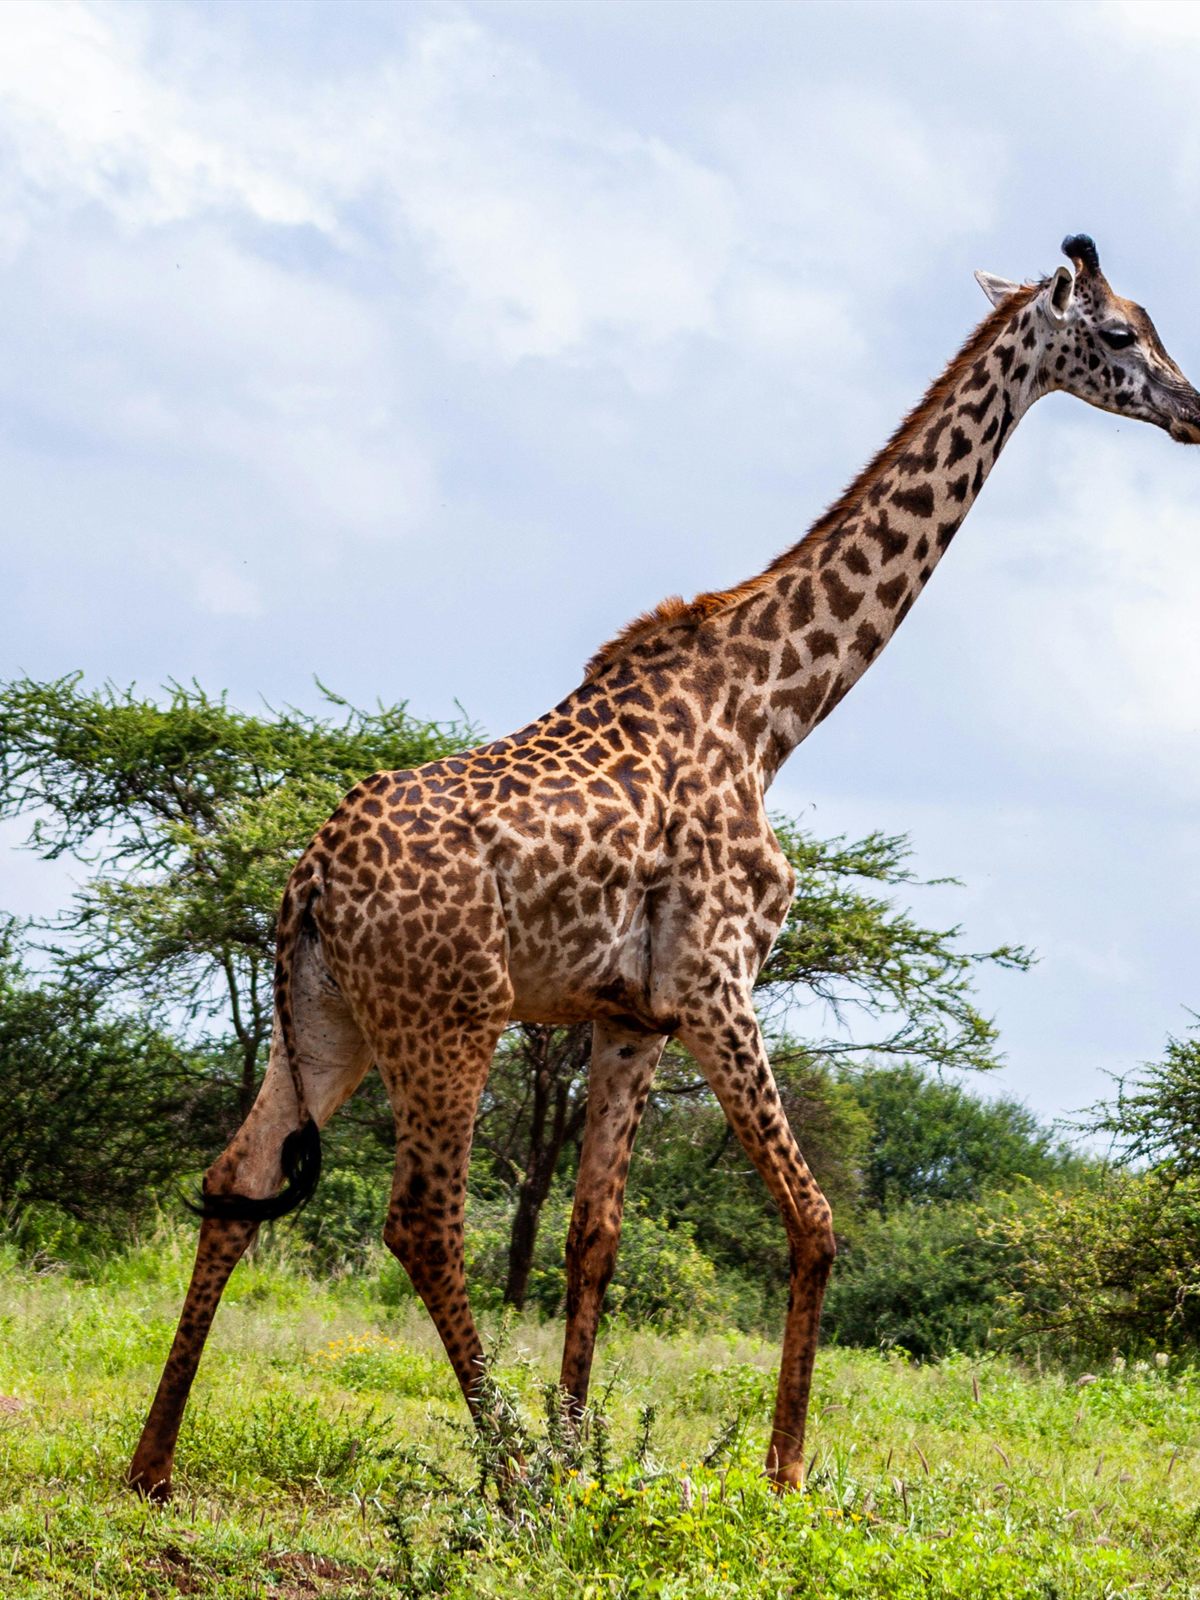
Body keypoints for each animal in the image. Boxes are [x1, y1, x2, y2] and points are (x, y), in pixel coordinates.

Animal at [129, 235, 1200, 1500]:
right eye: (1124, 332)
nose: (1194, 410)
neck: (774, 710)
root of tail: (307, 882)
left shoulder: (630, 1012)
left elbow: (594, 1234)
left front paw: (583, 1451)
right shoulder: (715, 979)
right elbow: (815, 1219)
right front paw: (778, 1473)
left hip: (331, 1018)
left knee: (237, 1180)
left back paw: (155, 1463)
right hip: (451, 1015)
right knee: (422, 1219)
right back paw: (507, 1477)